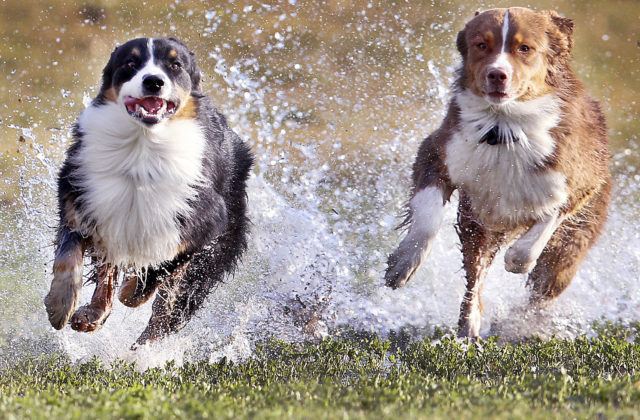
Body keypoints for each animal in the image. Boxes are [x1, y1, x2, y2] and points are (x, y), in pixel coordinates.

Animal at [42, 37, 252, 344]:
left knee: (164, 318)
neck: (142, 148)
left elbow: (161, 268)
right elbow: (68, 256)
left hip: (209, 261)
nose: (153, 81)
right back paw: (90, 316)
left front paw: (132, 292)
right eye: (130, 62)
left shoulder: (203, 223)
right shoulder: (82, 199)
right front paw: (59, 306)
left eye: (175, 65)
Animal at [384, 7, 608, 338]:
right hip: (474, 226)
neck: (503, 126)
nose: (497, 74)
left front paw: (516, 257)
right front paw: (403, 263)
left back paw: (517, 325)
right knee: (474, 278)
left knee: (541, 289)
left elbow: (544, 224)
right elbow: (427, 216)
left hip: (567, 251)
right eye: (481, 45)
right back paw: (469, 327)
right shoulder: (439, 153)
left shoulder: (579, 181)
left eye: (525, 48)